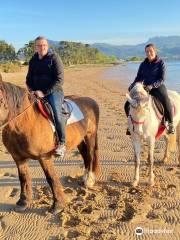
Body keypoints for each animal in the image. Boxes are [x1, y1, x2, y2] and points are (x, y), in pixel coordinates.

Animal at [0, 74, 100, 213]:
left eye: (0, 100)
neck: (25, 122)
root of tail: (91, 101)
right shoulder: (18, 158)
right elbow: (23, 178)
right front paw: (23, 202)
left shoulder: (44, 157)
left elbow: (51, 178)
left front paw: (58, 205)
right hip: (80, 139)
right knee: (85, 156)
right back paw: (85, 178)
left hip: (90, 136)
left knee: (91, 155)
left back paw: (89, 180)